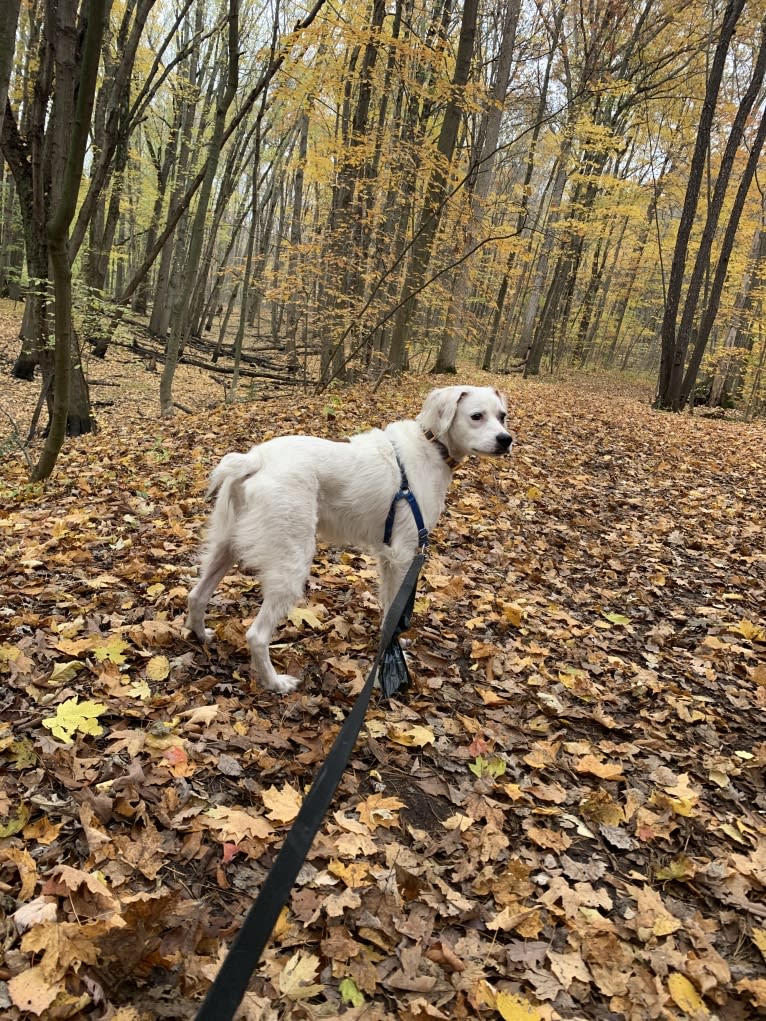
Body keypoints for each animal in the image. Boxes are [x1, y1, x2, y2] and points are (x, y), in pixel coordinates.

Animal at [186, 383, 512, 694]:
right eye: (476, 416)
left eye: (502, 416)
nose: (506, 440)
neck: (431, 444)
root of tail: (255, 459)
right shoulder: (404, 555)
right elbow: (396, 608)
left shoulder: (387, 558)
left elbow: (388, 608)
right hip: (291, 562)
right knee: (256, 635)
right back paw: (275, 683)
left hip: (225, 547)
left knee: (196, 595)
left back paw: (201, 636)